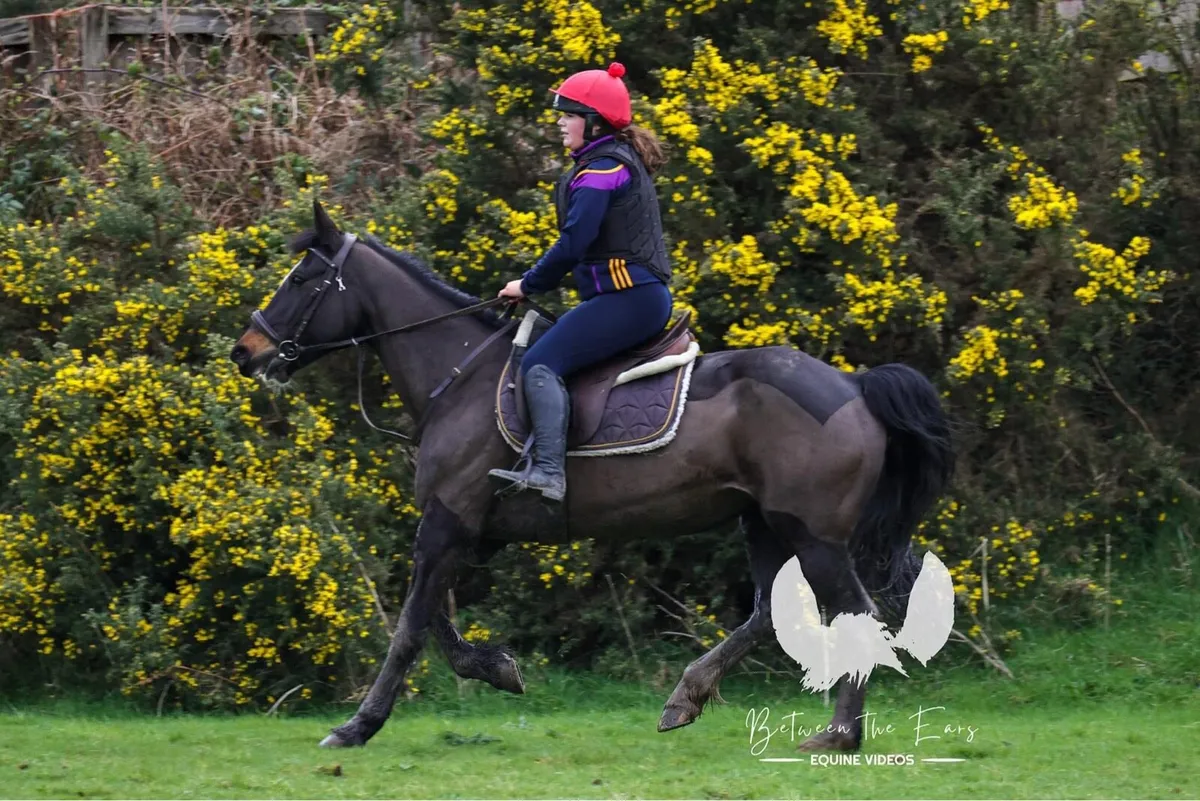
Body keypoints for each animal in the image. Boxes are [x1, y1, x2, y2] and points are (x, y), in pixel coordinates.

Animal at [230, 200, 954, 750]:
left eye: (302, 279)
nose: (246, 351)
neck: (458, 376)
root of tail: (854, 386)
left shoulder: (447, 521)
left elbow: (410, 624)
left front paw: (358, 725)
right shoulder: (465, 530)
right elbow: (433, 619)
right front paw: (498, 668)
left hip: (814, 534)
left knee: (855, 613)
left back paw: (838, 734)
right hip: (765, 522)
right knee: (768, 613)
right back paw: (687, 697)